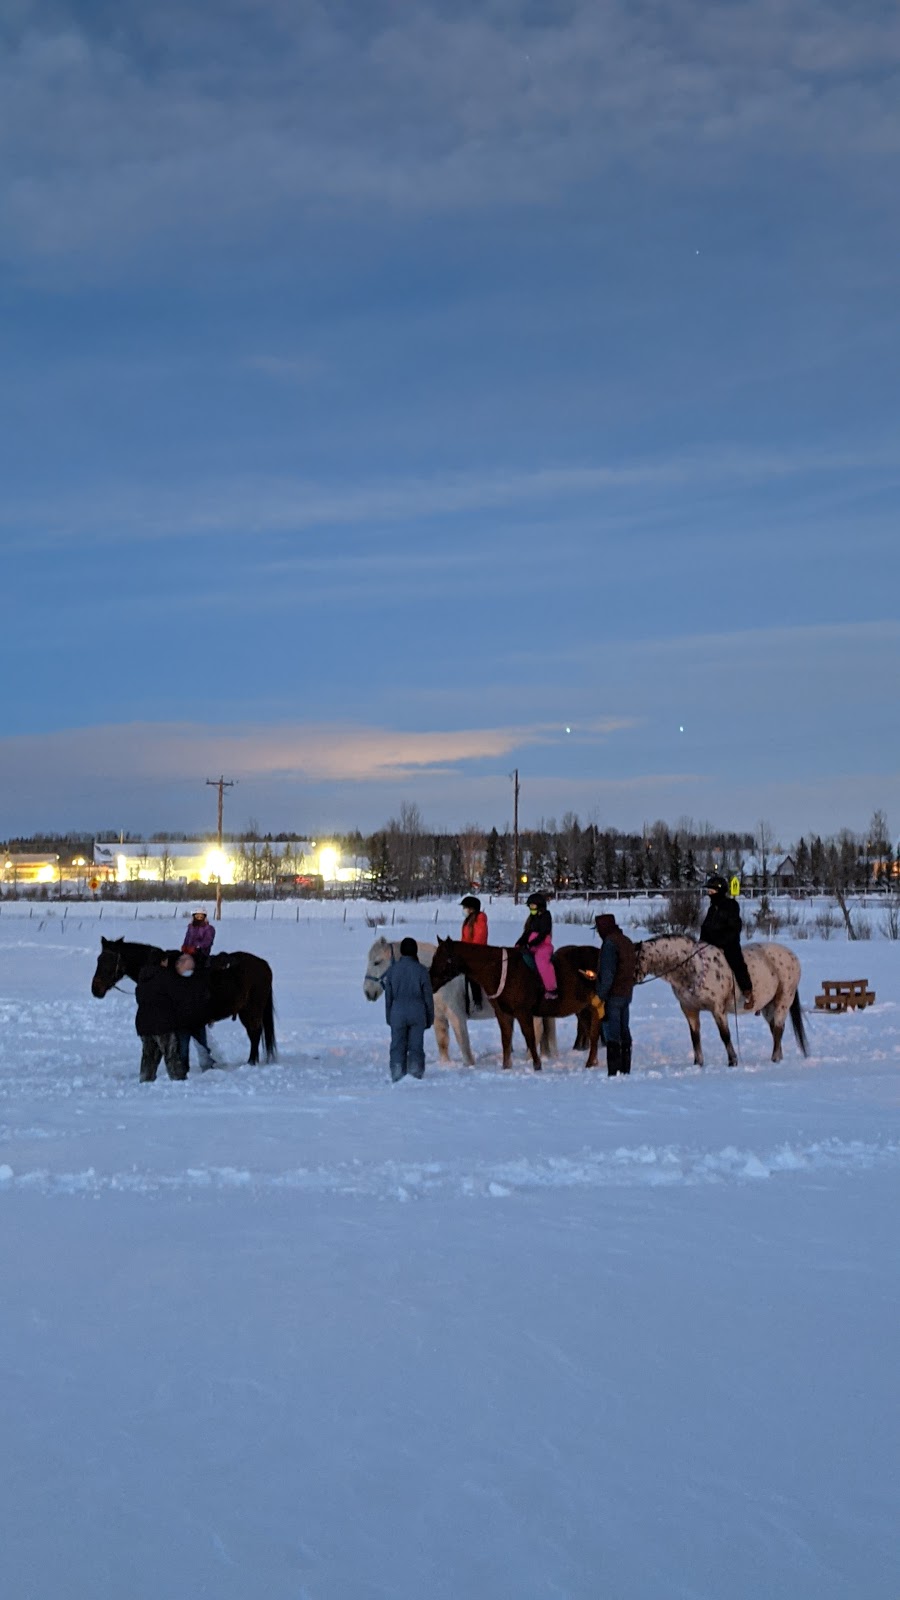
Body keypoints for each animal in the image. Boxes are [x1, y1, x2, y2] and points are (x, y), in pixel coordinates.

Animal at [90, 934, 275, 1062]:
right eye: (99, 959)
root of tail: (264, 965)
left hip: (252, 1011)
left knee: (255, 1034)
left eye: (110, 960)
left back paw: (251, 1062)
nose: (95, 989)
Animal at [360, 934, 557, 1068]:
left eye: (377, 962)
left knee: (536, 1031)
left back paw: (529, 1058)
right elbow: (442, 1042)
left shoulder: (456, 1015)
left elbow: (463, 1040)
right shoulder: (438, 1017)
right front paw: (445, 1064)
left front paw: (469, 1064)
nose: (368, 992)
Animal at [425, 934, 595, 1075]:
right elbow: (505, 1039)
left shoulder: (522, 1012)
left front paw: (537, 1065)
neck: (500, 971)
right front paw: (506, 1067)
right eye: (433, 958)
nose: (430, 982)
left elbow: (529, 1037)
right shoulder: (502, 1013)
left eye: (444, 959)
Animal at [630, 934, 807, 1068]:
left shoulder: (717, 1009)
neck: (693, 969)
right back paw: (778, 1057)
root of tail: (792, 956)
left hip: (783, 1000)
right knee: (775, 1030)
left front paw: (733, 1061)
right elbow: (695, 1037)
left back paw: (775, 1058)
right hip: (768, 1007)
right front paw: (698, 1063)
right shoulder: (689, 1009)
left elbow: (725, 1035)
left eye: (632, 960)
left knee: (778, 1029)